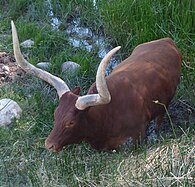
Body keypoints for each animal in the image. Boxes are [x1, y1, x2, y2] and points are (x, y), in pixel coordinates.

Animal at [11, 20, 182, 152]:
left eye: (71, 122)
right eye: (55, 115)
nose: (49, 145)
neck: (108, 114)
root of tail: (166, 40)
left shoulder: (137, 136)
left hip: (165, 104)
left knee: (160, 118)